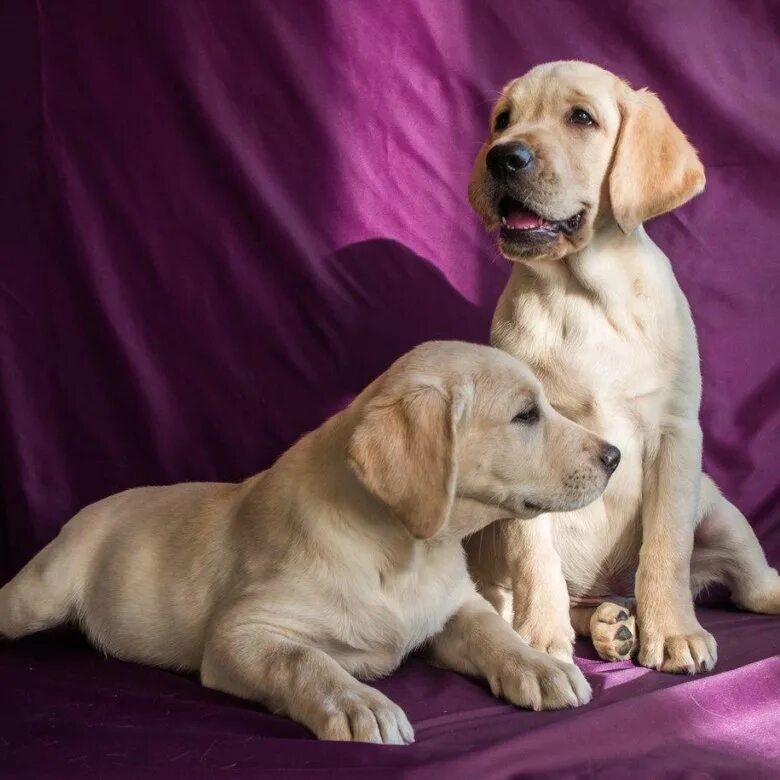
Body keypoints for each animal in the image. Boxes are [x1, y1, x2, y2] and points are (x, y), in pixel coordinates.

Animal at [0, 342, 616, 744]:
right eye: (526, 415)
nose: (615, 456)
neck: (407, 552)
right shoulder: (240, 635)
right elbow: (302, 659)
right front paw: (358, 702)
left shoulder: (453, 608)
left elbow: (492, 628)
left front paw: (539, 664)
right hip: (37, 595)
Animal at [466, 61, 776, 672]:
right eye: (503, 120)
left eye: (581, 118)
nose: (502, 156)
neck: (584, 292)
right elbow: (535, 558)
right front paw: (541, 639)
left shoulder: (675, 434)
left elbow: (666, 548)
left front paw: (674, 633)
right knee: (546, 596)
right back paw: (607, 625)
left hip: (721, 512)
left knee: (753, 582)